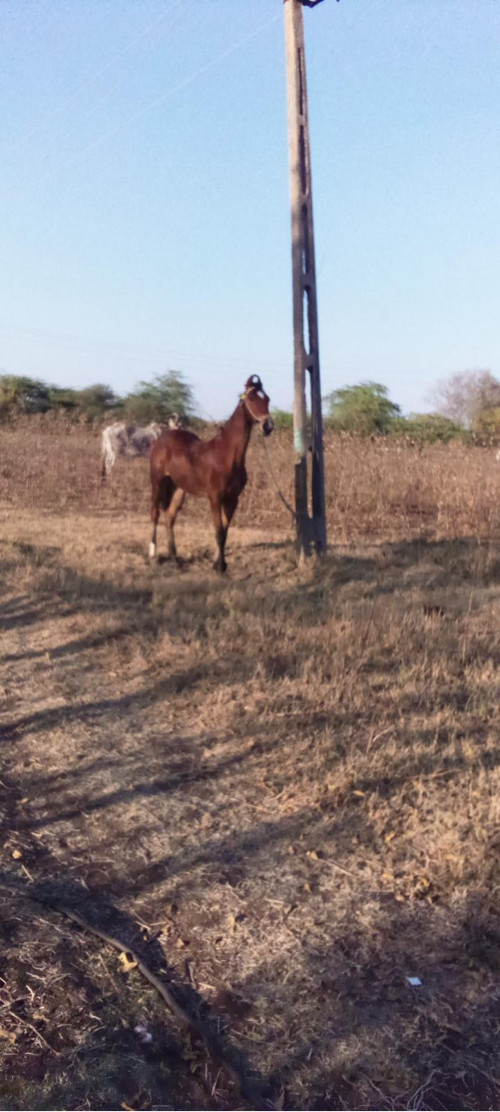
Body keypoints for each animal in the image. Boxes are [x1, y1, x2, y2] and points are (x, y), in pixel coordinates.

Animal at [148, 375, 273, 573]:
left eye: (267, 399)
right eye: (253, 398)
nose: (268, 426)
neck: (227, 455)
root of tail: (162, 439)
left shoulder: (232, 499)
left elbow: (225, 531)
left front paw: (218, 563)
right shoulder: (215, 497)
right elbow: (219, 531)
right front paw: (220, 566)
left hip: (179, 489)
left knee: (170, 517)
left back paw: (174, 558)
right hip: (157, 481)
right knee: (155, 513)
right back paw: (153, 555)